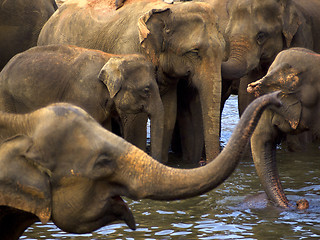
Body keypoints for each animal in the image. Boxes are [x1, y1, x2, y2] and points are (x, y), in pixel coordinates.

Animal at [37, 0, 226, 164]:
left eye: (223, 50)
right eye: (194, 52)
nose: (202, 163)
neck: (170, 9)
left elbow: (169, 113)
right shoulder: (129, 50)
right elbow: (136, 120)